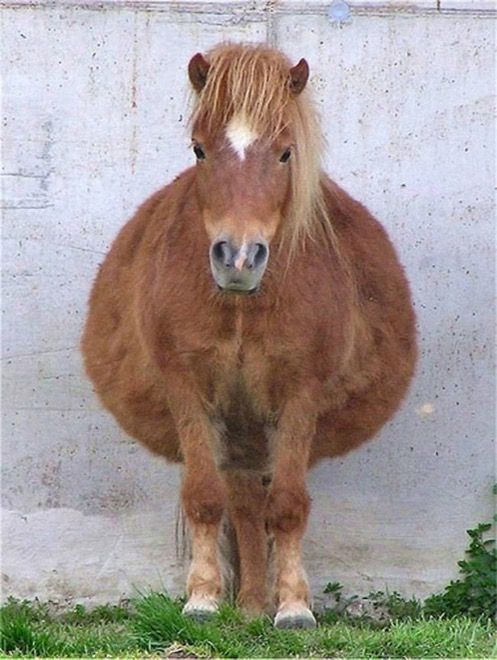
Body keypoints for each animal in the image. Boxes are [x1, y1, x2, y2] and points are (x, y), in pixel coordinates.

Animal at [81, 41, 414, 628]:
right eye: (199, 150)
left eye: (284, 153)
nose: (237, 258)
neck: (241, 306)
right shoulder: (187, 388)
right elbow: (205, 497)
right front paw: (203, 598)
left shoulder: (300, 394)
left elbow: (287, 506)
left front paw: (296, 608)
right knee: (239, 498)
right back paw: (249, 603)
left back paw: (263, 604)